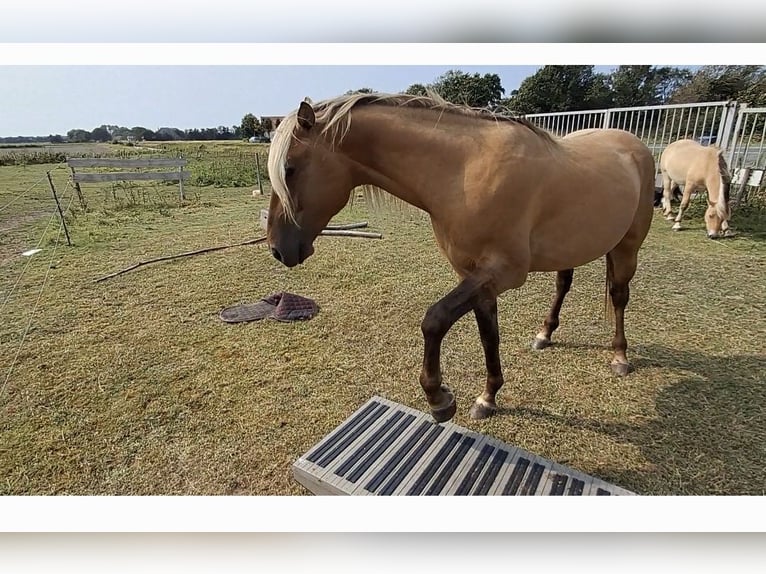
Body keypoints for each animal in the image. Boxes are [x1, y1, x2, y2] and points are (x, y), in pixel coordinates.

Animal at [268, 93, 656, 424]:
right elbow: (488, 336)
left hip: (627, 247)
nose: (276, 248)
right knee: (564, 283)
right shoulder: (474, 276)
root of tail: (635, 146)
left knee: (619, 296)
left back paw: (619, 357)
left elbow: (434, 319)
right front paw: (488, 396)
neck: (464, 173)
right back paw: (545, 334)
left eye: (289, 168)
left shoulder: (503, 273)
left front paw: (439, 398)